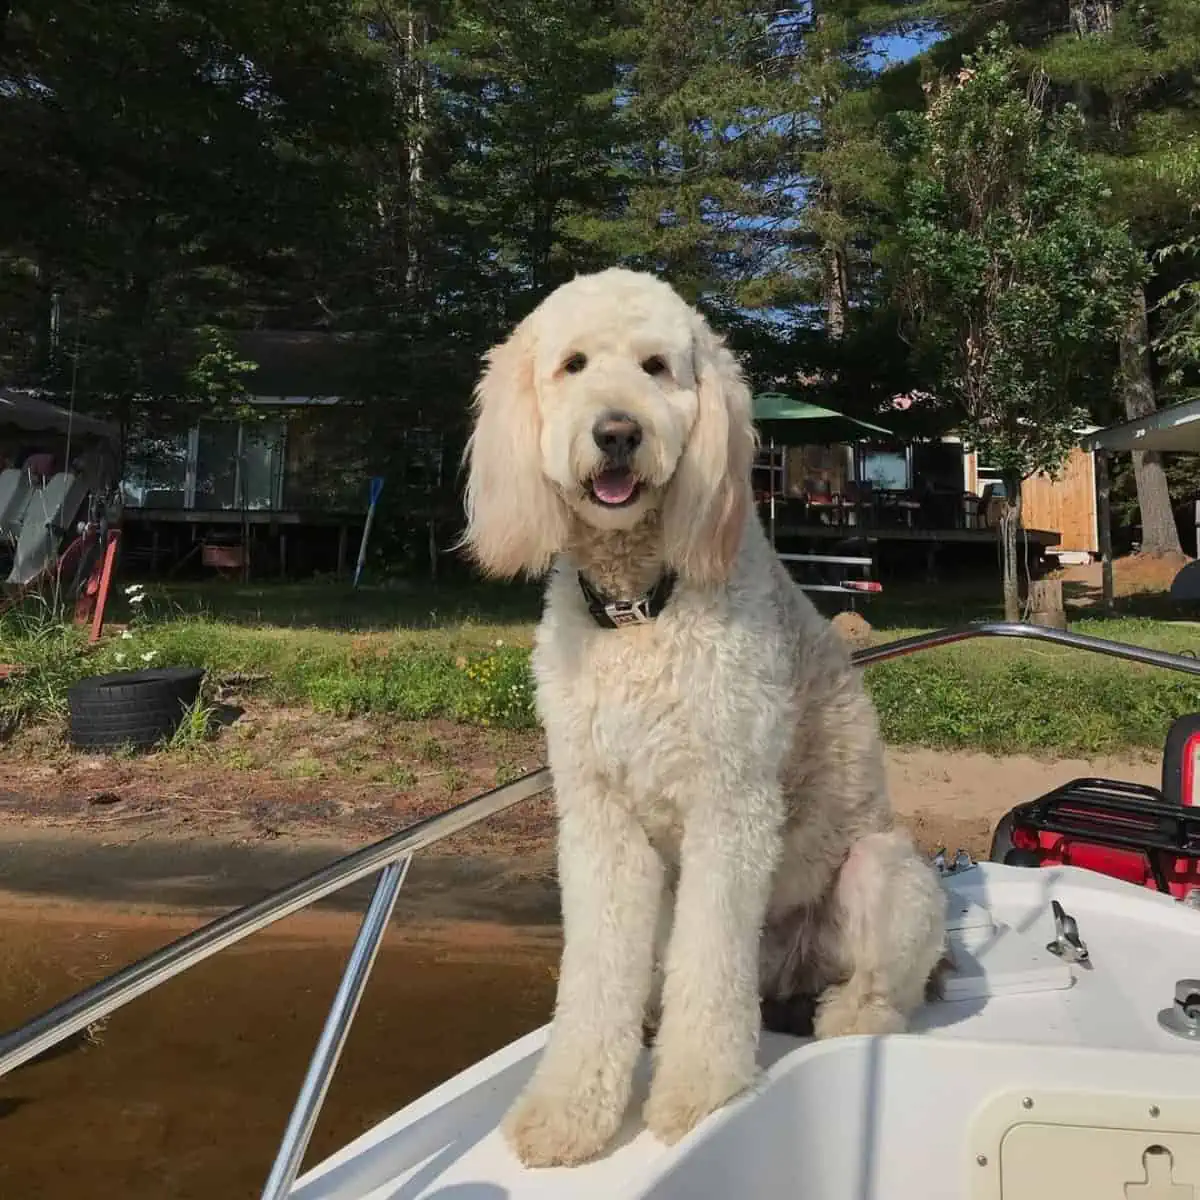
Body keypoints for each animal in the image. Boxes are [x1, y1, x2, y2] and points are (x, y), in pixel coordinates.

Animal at [458, 267, 945, 1166]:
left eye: (657, 367)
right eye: (574, 365)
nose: (617, 433)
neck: (639, 609)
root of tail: (787, 975)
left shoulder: (731, 804)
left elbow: (711, 960)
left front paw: (696, 1093)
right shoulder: (599, 818)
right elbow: (593, 975)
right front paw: (570, 1111)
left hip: (886, 872)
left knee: (879, 993)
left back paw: (843, 1014)